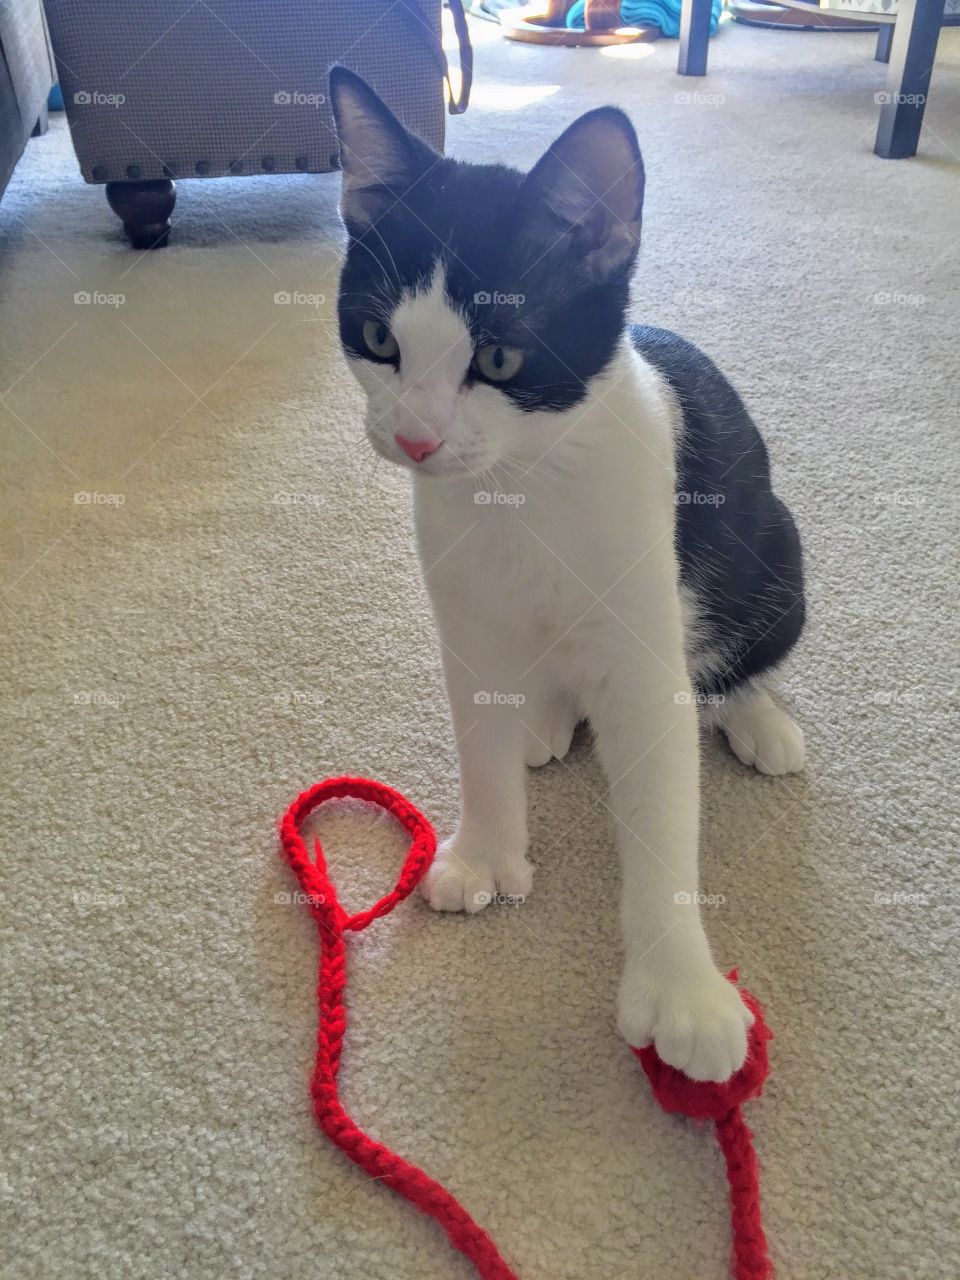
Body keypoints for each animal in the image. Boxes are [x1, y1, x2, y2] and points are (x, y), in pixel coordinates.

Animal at [330, 67, 803, 1080]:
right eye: (380, 340)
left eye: (500, 355)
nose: (415, 438)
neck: (522, 488)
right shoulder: (463, 608)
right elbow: (478, 735)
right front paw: (487, 851)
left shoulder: (645, 638)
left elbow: (664, 801)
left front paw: (681, 991)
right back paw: (544, 717)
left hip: (775, 550)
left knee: (745, 648)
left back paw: (757, 715)